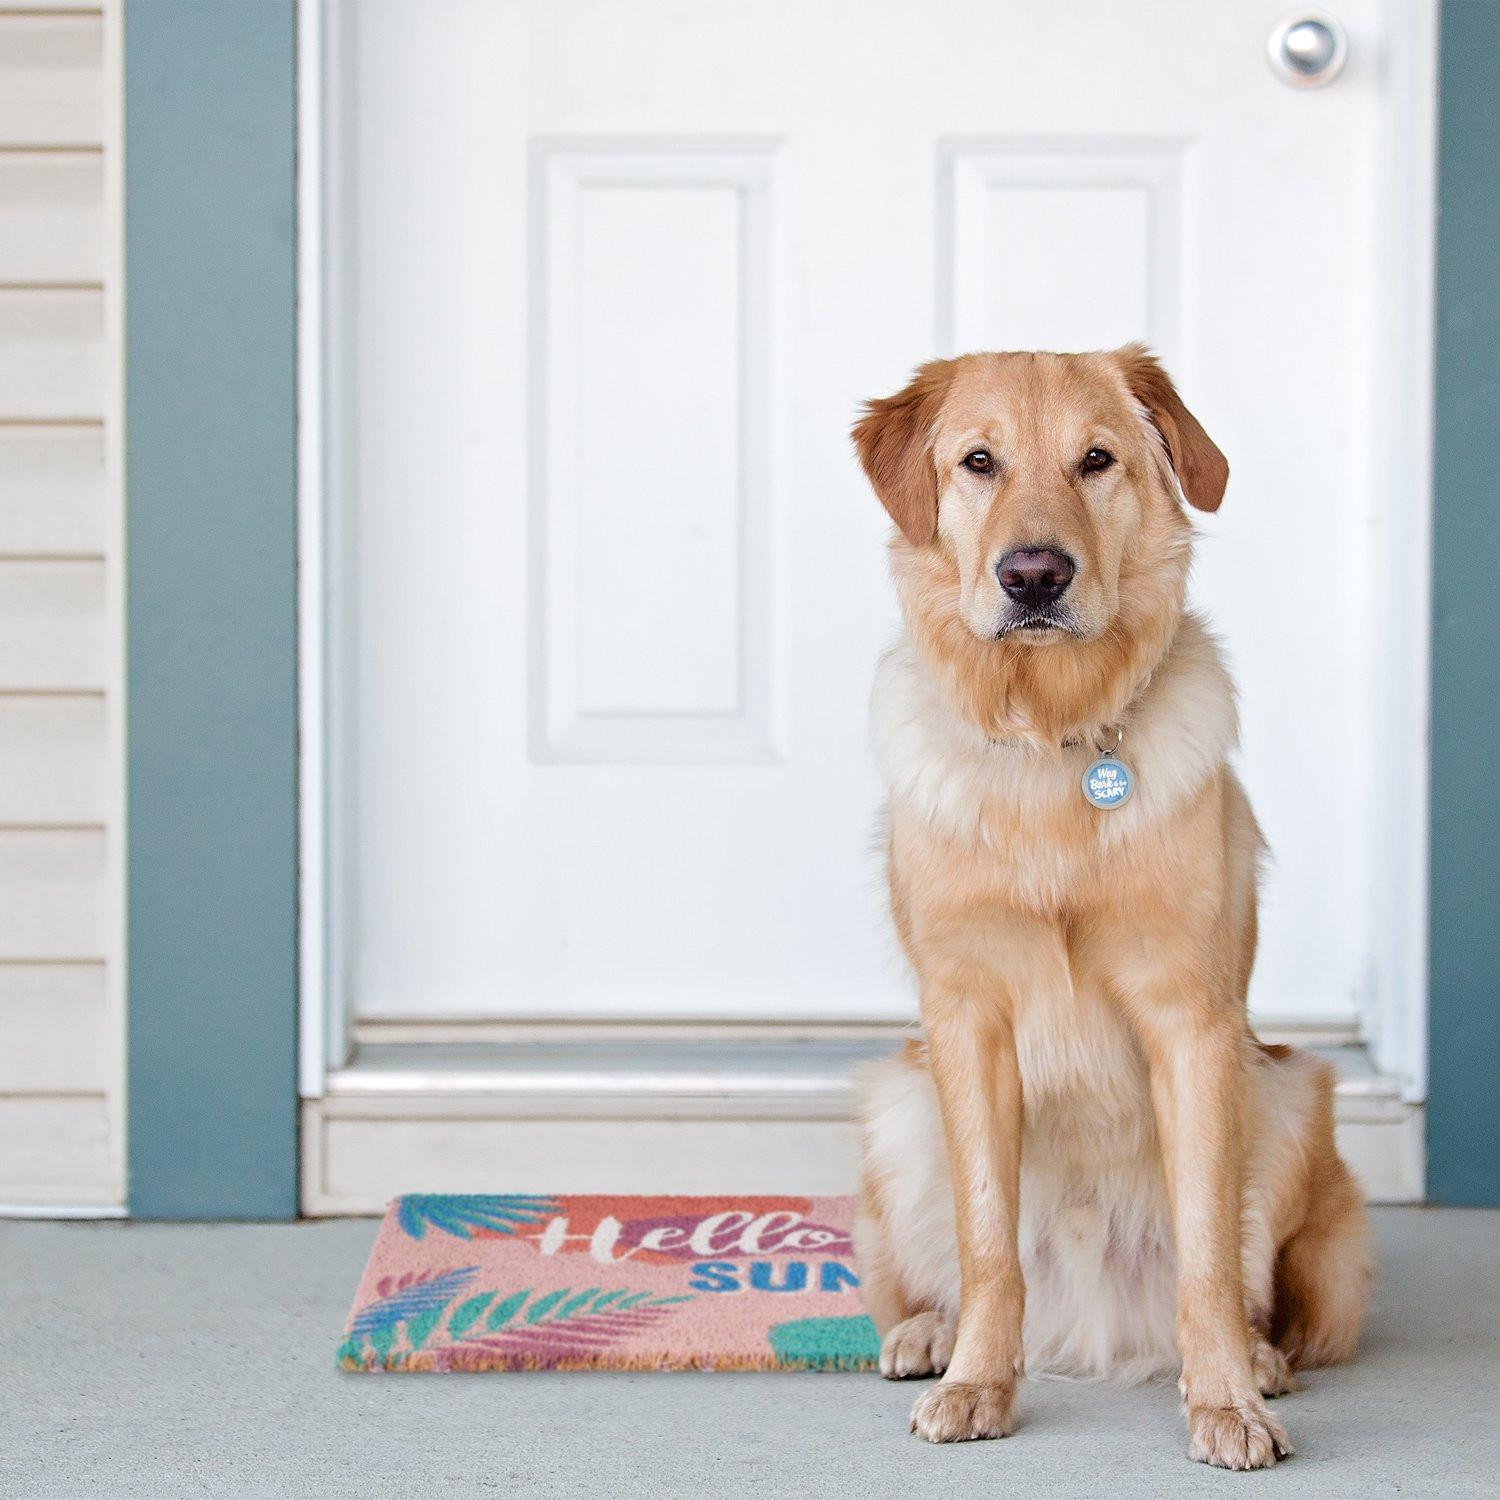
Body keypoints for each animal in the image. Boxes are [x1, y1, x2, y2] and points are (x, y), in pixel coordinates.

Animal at [852, 348, 1368, 1464]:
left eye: (1096, 460)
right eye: (978, 462)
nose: (1034, 576)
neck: (1052, 740)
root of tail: (1094, 1325)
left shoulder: (1193, 1024)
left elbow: (1209, 1255)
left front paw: (1225, 1400)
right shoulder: (966, 1021)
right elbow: (988, 1242)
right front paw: (979, 1384)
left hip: (1288, 1094)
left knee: (1258, 1287)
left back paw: (1260, 1359)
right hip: (896, 1103)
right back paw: (929, 1335)